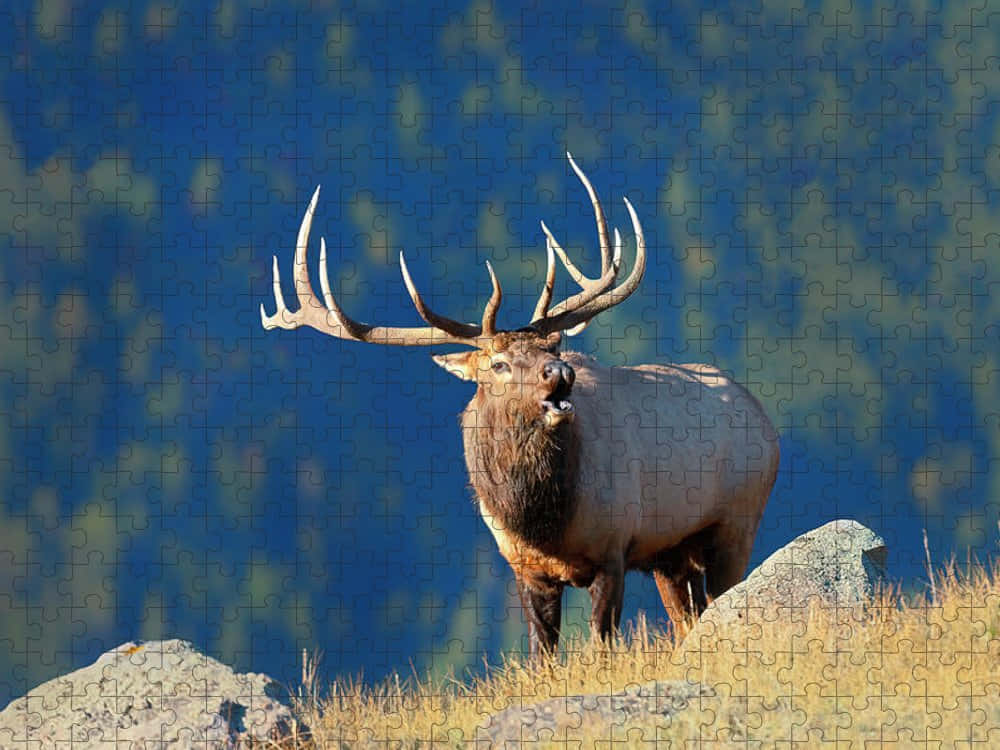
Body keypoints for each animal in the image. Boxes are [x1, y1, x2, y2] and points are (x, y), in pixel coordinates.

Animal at [261, 154, 780, 657]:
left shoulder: (614, 547)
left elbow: (602, 644)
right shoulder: (523, 565)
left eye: (552, 348)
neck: (542, 521)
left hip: (737, 520)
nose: (560, 373)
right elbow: (541, 653)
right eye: (499, 364)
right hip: (672, 555)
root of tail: (763, 418)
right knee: (686, 616)